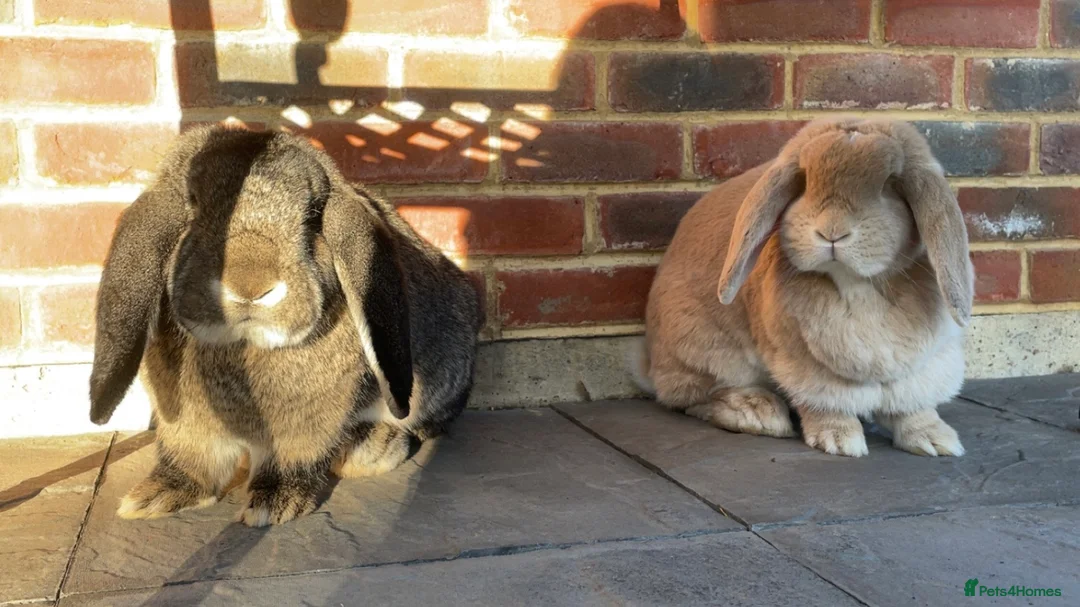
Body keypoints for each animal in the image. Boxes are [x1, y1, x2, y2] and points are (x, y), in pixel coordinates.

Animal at [88, 124, 485, 526]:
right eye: (193, 206)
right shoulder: (188, 427)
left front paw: (273, 506)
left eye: (312, 218)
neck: (244, 343)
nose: (250, 286)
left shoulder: (303, 426)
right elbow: (193, 460)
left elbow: (290, 460)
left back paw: (371, 449)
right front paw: (156, 497)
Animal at [633, 117, 974, 458]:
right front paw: (839, 439)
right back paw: (757, 413)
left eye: (890, 184)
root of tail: (651, 362)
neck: (856, 286)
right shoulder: (806, 365)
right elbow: (823, 402)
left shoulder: (918, 367)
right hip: (706, 350)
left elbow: (911, 405)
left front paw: (934, 439)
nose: (831, 232)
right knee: (693, 396)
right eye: (806, 182)